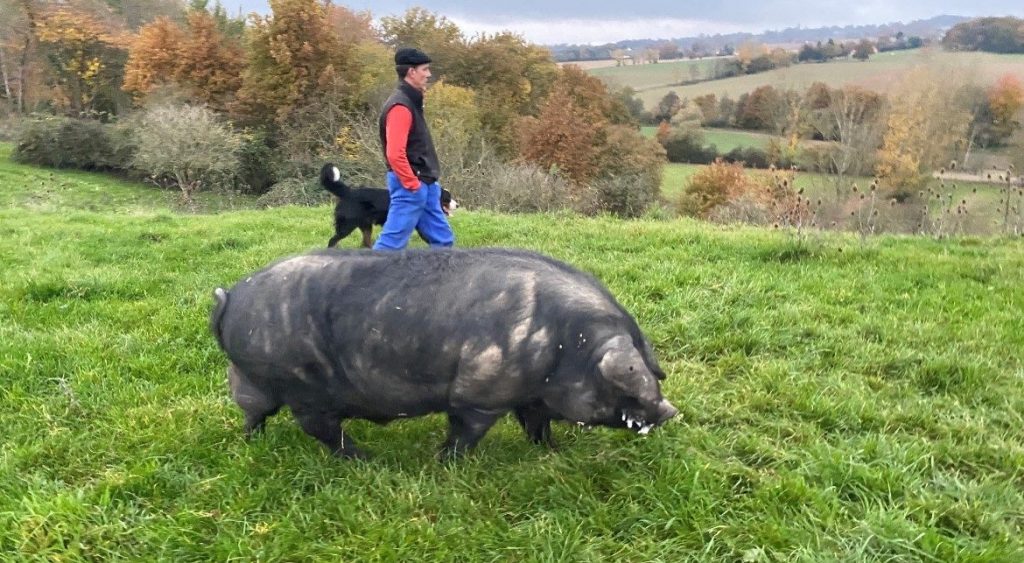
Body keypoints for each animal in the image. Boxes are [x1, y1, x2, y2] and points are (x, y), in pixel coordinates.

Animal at [210, 249, 675, 460]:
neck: (565, 343)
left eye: (653, 371)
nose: (670, 411)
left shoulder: (530, 395)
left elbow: (536, 423)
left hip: (252, 376)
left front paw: (551, 452)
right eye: (628, 380)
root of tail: (230, 296)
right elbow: (466, 432)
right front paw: (443, 461)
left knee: (252, 411)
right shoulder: (478, 393)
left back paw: (251, 444)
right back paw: (366, 459)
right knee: (319, 428)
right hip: (303, 385)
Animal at [317, 165, 458, 249]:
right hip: (347, 225)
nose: (457, 204)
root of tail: (349, 192)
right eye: (447, 198)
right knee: (333, 241)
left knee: (366, 243)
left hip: (365, 226)